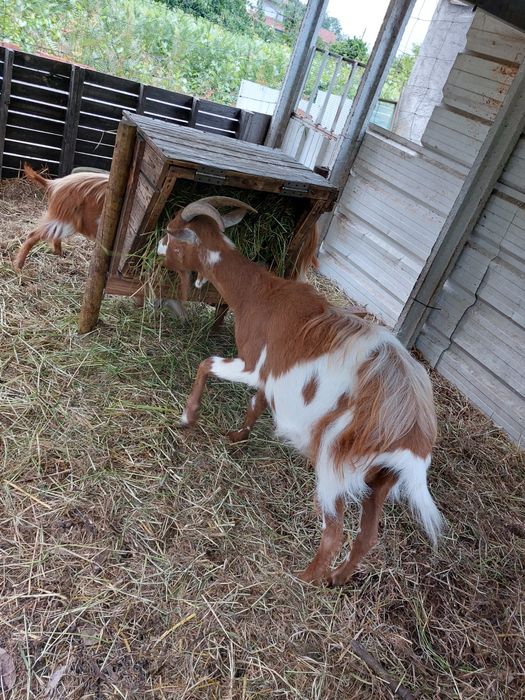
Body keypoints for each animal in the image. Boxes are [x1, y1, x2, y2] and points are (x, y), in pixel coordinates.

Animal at [157, 197, 443, 587]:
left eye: (173, 233)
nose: (157, 247)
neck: (262, 294)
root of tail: (413, 436)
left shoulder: (252, 364)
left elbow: (206, 364)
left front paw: (187, 417)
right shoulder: (273, 379)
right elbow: (256, 403)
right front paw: (237, 436)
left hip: (335, 465)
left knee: (333, 531)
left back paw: (305, 578)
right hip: (380, 481)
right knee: (367, 536)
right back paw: (337, 579)